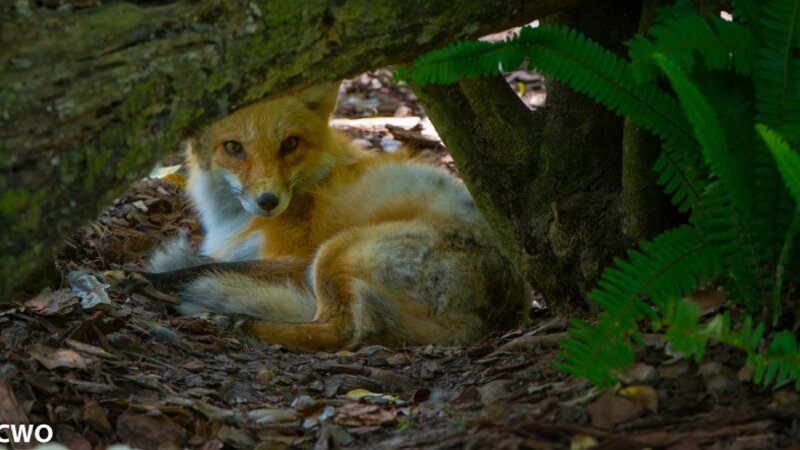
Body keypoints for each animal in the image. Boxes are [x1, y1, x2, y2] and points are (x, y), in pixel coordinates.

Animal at [145, 82, 530, 352]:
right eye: (233, 148)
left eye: (290, 144)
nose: (268, 201)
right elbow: (211, 262)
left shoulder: (296, 259)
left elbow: (200, 269)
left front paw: (147, 279)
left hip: (334, 252)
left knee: (344, 331)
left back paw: (239, 323)